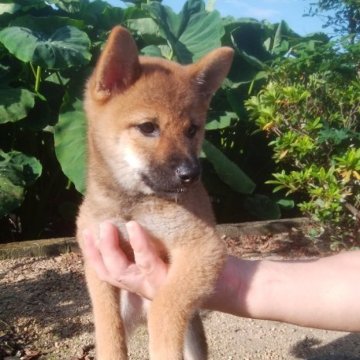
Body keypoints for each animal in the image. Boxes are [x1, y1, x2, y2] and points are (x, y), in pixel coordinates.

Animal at [76, 26, 233, 360]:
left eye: (192, 130)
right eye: (148, 127)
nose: (191, 174)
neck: (130, 206)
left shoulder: (202, 247)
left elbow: (165, 306)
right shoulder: (97, 266)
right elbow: (107, 329)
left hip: (191, 328)